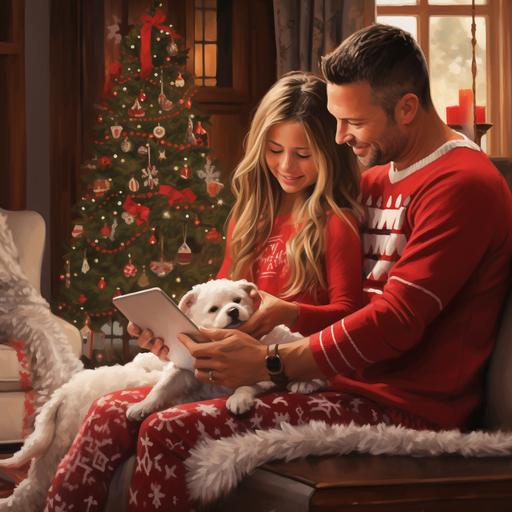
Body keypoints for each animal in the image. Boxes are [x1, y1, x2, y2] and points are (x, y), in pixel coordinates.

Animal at [125, 280, 324, 420]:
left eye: (237, 300)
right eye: (213, 309)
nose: (233, 311)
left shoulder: (253, 367)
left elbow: (246, 382)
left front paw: (239, 398)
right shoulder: (183, 368)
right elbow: (162, 386)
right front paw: (142, 405)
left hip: (291, 341)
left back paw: (305, 382)